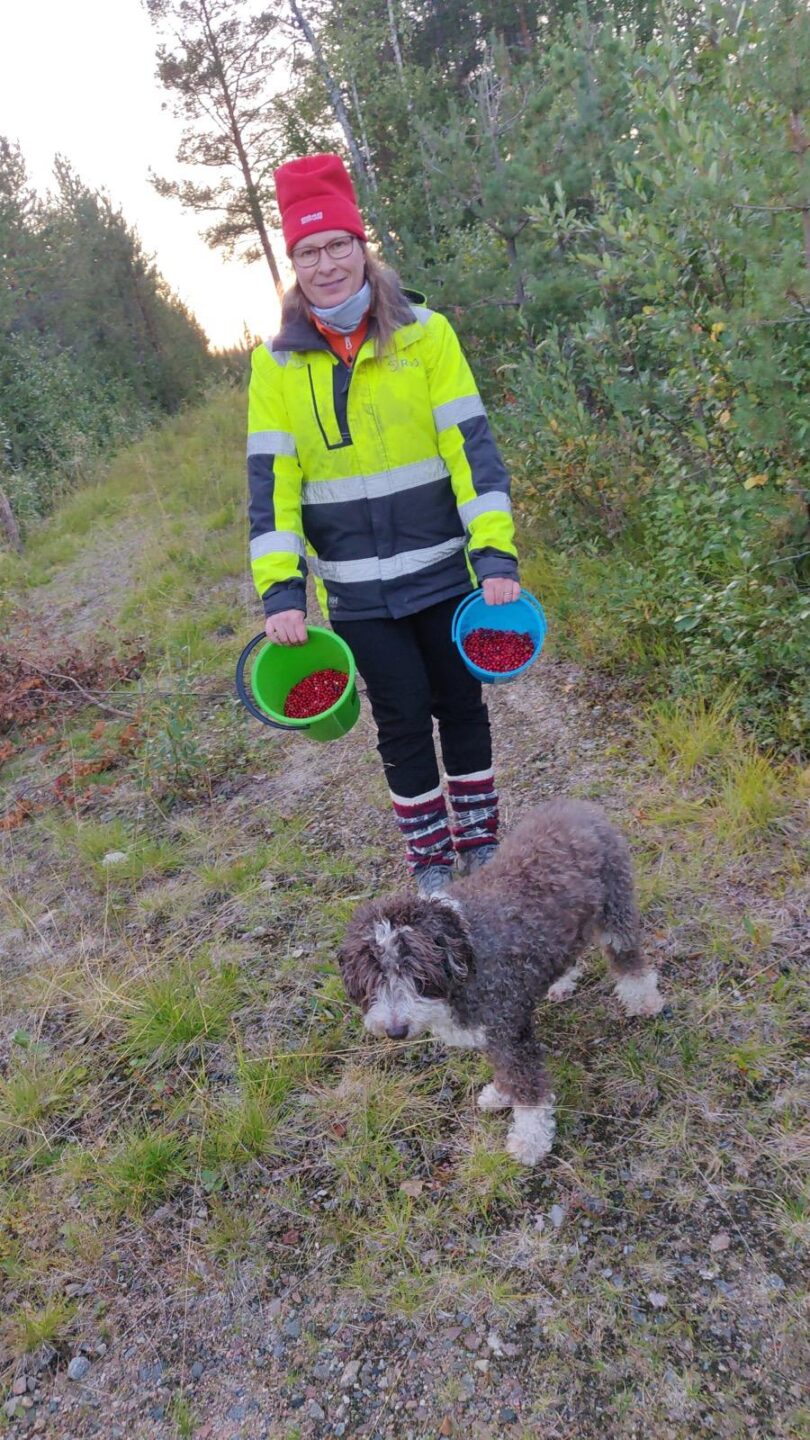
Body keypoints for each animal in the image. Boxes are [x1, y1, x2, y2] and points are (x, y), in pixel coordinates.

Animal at [338, 799, 664, 1164]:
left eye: (416, 974)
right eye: (372, 979)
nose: (395, 1031)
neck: (464, 955)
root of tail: (577, 806)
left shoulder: (509, 1031)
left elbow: (529, 1091)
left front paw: (529, 1141)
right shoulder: (492, 1033)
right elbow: (504, 1073)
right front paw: (501, 1094)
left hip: (615, 909)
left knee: (628, 959)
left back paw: (644, 999)